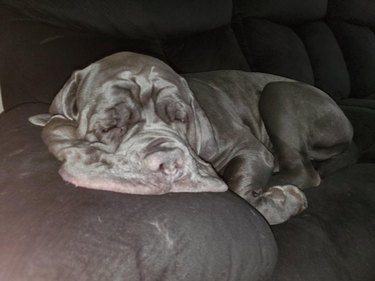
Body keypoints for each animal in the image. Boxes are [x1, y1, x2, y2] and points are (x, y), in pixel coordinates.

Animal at [29, 51, 356, 224]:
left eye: (180, 117)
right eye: (109, 127)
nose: (168, 161)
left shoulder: (250, 149)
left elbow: (239, 192)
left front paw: (278, 199)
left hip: (278, 93)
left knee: (303, 171)